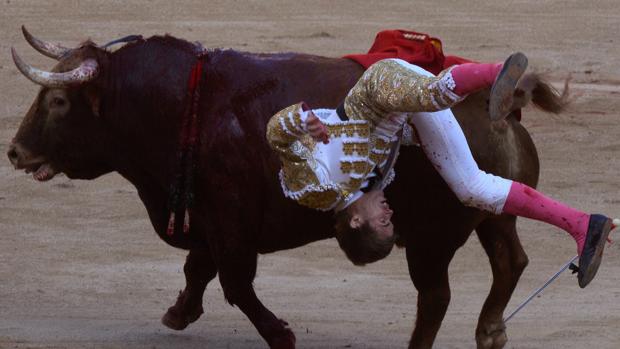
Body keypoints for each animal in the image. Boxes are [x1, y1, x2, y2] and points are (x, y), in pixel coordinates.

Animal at [7, 27, 568, 348]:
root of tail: (504, 106)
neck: (181, 105)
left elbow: (235, 283)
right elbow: (199, 269)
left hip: (432, 235)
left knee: (436, 295)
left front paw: (281, 333)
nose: (15, 152)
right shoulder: (211, 217)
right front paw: (178, 313)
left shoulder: (230, 221)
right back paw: (491, 330)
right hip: (488, 211)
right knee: (510, 258)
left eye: (57, 101)